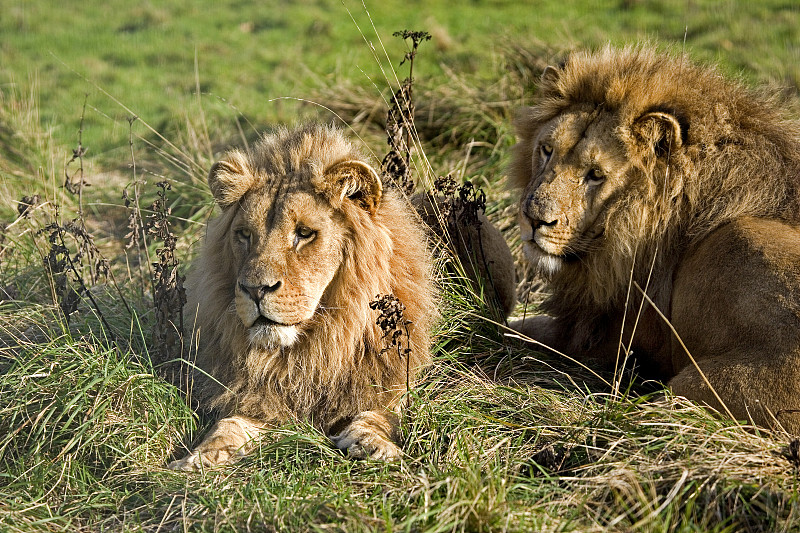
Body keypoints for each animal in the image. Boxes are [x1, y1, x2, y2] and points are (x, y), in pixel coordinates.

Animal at [165, 124, 434, 470]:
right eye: (244, 235)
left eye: (304, 234)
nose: (255, 289)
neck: (316, 348)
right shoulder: (257, 398)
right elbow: (228, 425)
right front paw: (197, 458)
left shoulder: (394, 379)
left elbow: (381, 413)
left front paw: (372, 444)